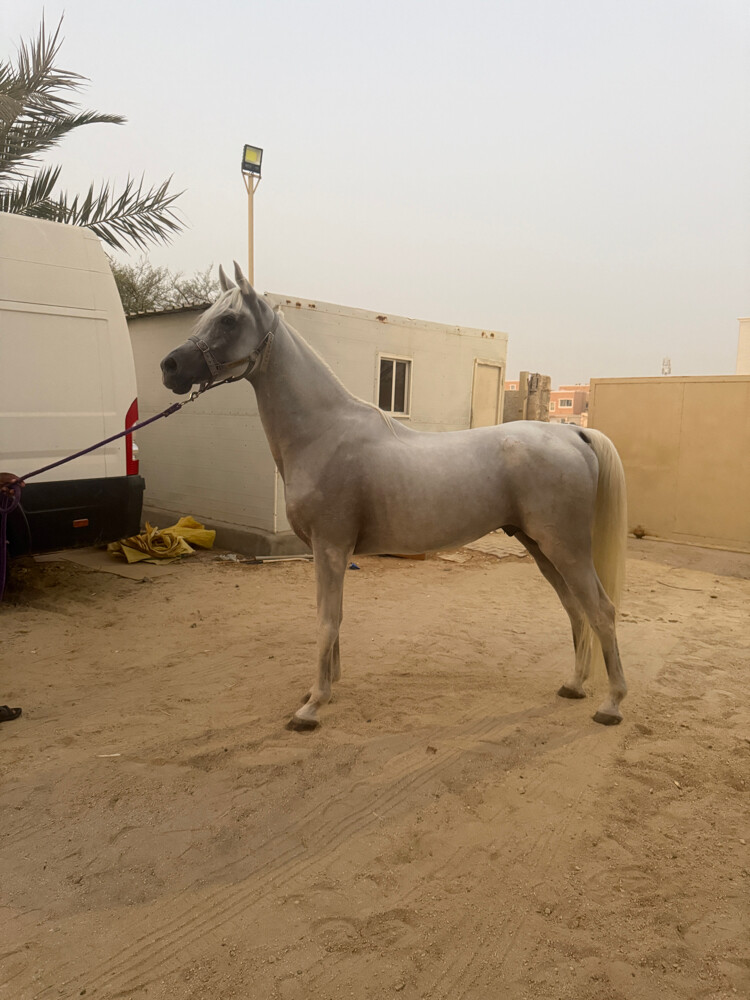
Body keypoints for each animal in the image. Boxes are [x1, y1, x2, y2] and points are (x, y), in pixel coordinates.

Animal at [160, 263, 628, 731]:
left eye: (228, 320)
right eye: (206, 317)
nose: (170, 367)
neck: (323, 433)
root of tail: (572, 432)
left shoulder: (330, 547)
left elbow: (327, 620)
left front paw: (312, 707)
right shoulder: (326, 551)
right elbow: (332, 618)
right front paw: (322, 690)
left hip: (565, 547)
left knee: (601, 610)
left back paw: (611, 704)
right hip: (540, 547)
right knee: (575, 610)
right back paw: (574, 685)